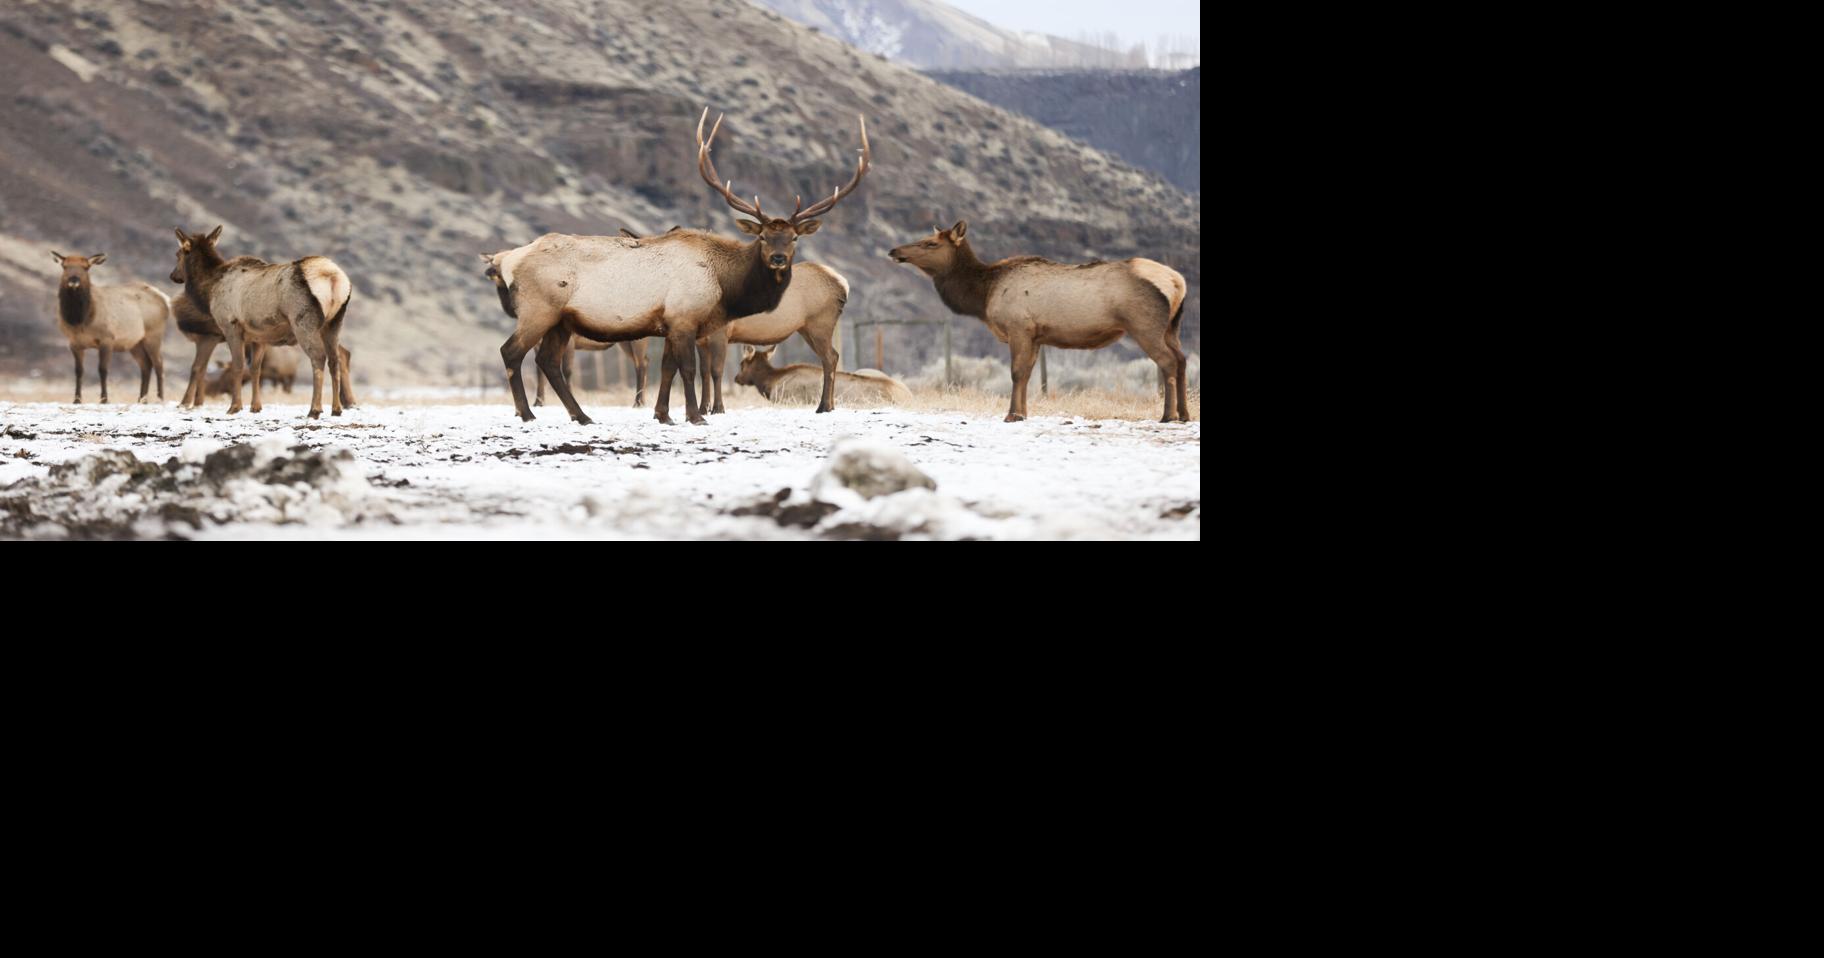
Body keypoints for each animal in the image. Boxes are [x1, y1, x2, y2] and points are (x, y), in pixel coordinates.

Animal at [50, 252, 170, 404]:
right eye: (65, 266)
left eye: (86, 267)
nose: (74, 279)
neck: (79, 321)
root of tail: (165, 298)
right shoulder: (73, 343)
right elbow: (78, 371)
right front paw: (76, 400)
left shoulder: (107, 338)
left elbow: (103, 369)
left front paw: (104, 399)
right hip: (135, 343)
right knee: (146, 365)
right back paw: (141, 399)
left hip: (154, 334)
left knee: (159, 364)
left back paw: (160, 398)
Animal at [170, 225, 351, 419]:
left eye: (179, 253)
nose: (173, 275)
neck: (210, 290)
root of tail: (332, 277)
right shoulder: (259, 337)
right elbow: (255, 370)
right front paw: (255, 406)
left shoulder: (230, 325)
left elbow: (238, 366)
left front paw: (235, 406)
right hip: (334, 322)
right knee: (335, 359)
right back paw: (336, 408)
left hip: (303, 321)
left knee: (318, 357)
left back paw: (315, 409)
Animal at [479, 247, 650, 407]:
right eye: (491, 260)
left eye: (506, 260)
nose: (489, 272)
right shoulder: (536, 343)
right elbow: (539, 371)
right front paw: (539, 402)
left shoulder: (571, 341)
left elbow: (567, 370)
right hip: (624, 343)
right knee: (643, 361)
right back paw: (642, 400)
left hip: (638, 340)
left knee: (641, 363)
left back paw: (638, 402)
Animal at [890, 221, 1190, 422]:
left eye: (931, 243)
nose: (894, 251)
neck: (983, 294)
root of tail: (1177, 281)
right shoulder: (1035, 335)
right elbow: (1027, 374)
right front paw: (1022, 413)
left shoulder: (1018, 328)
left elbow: (1016, 372)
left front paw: (1012, 415)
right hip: (1172, 327)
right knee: (1182, 359)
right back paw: (1185, 414)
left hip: (1144, 325)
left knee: (1167, 361)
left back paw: (1168, 416)